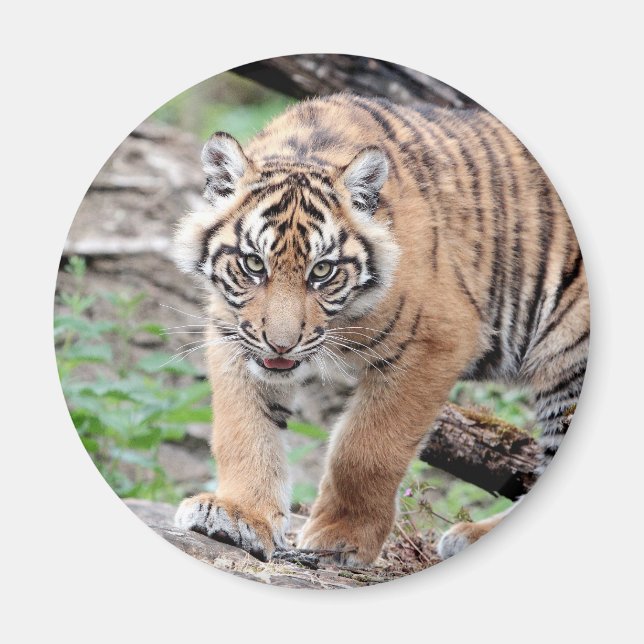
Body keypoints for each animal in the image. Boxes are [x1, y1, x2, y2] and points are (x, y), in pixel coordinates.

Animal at [172, 92, 589, 565]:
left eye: (322, 271)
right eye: (253, 264)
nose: (281, 344)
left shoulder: (435, 340)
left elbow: (366, 449)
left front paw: (340, 540)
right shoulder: (232, 335)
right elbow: (242, 428)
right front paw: (237, 515)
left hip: (570, 359)